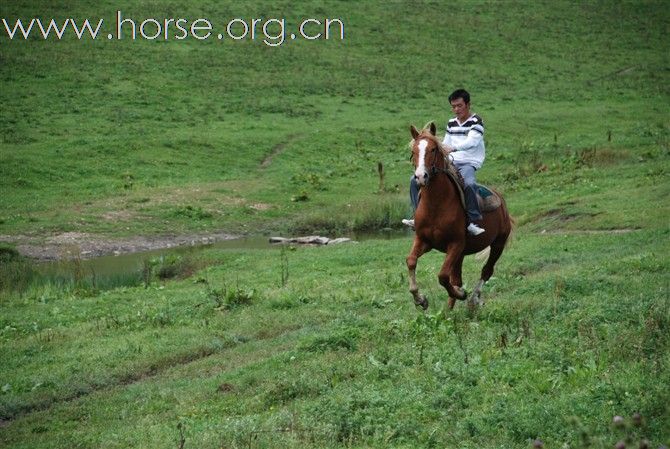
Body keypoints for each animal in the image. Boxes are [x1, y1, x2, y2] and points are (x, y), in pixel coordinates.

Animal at [404, 123, 516, 312]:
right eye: (414, 150)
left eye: (433, 149)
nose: (420, 176)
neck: (436, 204)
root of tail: (501, 200)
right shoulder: (424, 240)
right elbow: (411, 261)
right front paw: (421, 299)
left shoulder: (455, 244)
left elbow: (443, 276)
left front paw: (461, 294)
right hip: (462, 254)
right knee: (457, 277)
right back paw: (449, 310)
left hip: (498, 244)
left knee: (486, 271)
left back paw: (473, 299)